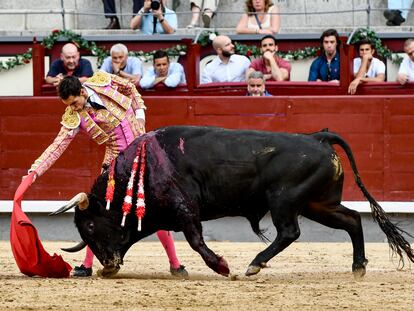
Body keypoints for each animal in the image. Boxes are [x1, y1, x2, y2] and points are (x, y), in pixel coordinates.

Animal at [52, 126, 414, 278]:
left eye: (89, 225)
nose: (108, 265)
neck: (143, 167)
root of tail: (318, 137)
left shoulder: (185, 209)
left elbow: (196, 241)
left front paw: (222, 266)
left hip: (284, 201)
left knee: (289, 232)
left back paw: (253, 265)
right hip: (318, 205)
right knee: (352, 220)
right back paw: (358, 268)